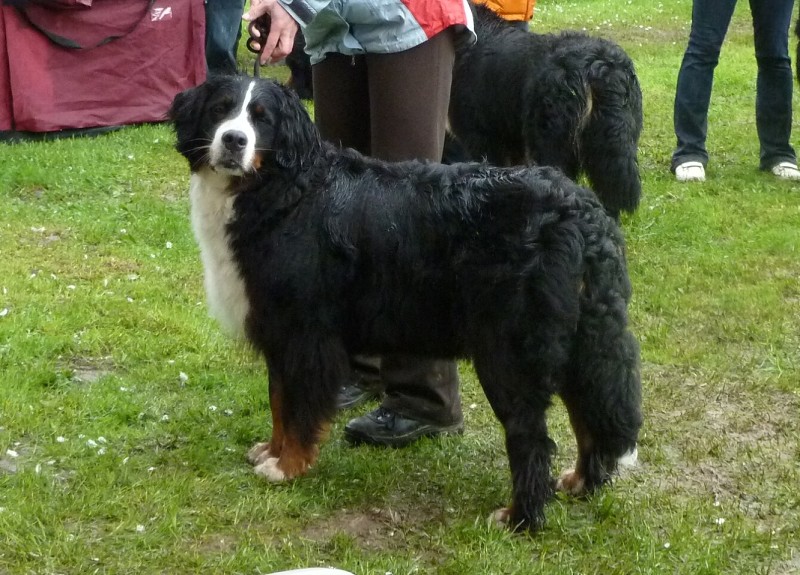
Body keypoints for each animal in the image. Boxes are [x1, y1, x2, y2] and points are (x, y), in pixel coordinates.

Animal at [169, 77, 644, 536]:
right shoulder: (279, 331)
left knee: (531, 435)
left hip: (509, 351)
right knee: (589, 411)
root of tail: (583, 211)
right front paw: (271, 450)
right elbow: (279, 403)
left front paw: (287, 467)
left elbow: (298, 410)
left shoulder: (305, 333)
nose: (233, 140)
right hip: (579, 339)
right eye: (220, 109)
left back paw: (520, 518)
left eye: (261, 119)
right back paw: (582, 482)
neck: (282, 189)